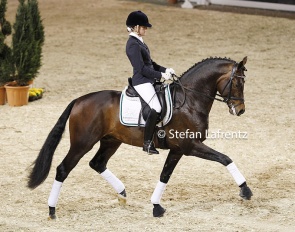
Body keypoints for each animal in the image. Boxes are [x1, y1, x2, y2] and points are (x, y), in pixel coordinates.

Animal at [27, 56, 253, 218]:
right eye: (237, 83)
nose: (240, 110)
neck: (189, 100)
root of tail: (78, 101)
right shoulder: (190, 146)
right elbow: (225, 158)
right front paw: (245, 190)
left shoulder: (177, 149)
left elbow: (164, 175)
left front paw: (156, 207)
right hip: (82, 143)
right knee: (63, 169)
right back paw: (52, 210)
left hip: (111, 141)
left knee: (97, 163)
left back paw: (122, 194)